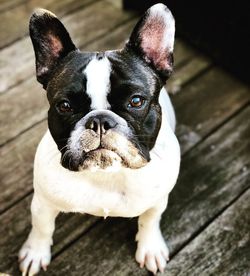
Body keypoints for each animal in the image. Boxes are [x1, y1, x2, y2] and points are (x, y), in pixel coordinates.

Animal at [18, 3, 181, 274]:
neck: (106, 175)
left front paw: (150, 248)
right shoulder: (43, 204)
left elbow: (149, 221)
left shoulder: (157, 201)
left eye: (136, 101)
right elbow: (42, 227)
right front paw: (35, 253)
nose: (100, 121)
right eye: (64, 106)